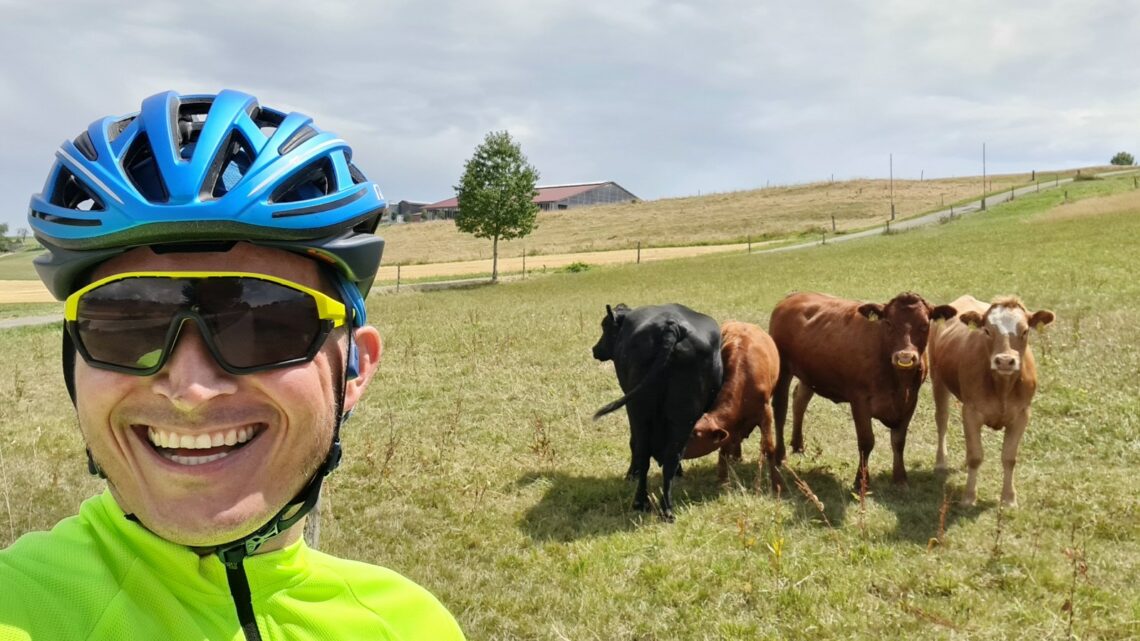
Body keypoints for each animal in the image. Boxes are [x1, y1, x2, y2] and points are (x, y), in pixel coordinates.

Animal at [592, 301, 725, 520]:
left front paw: (630, 475)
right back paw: (666, 508)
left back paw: (640, 502)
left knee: (641, 451)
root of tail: (671, 327)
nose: (595, 349)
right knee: (671, 457)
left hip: (638, 411)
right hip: (684, 415)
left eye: (605, 326)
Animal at [684, 319, 784, 488]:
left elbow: (769, 448)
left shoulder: (766, 413)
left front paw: (776, 484)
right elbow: (724, 447)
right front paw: (723, 479)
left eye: (694, 435)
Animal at [766, 291, 962, 485]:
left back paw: (798, 445)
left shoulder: (911, 400)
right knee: (780, 409)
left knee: (800, 400)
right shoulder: (859, 400)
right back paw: (780, 456)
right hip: (783, 369)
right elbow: (866, 441)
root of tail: (795, 295)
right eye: (888, 323)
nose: (905, 357)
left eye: (924, 325)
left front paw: (900, 478)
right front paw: (861, 480)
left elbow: (899, 440)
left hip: (811, 373)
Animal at [930, 294, 1053, 504]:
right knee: (942, 420)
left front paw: (1009, 498)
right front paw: (969, 497)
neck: (1002, 386)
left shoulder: (1022, 414)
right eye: (987, 330)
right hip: (937, 378)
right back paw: (941, 462)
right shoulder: (971, 412)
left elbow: (1009, 457)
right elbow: (976, 456)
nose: (1004, 361)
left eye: (1025, 331)